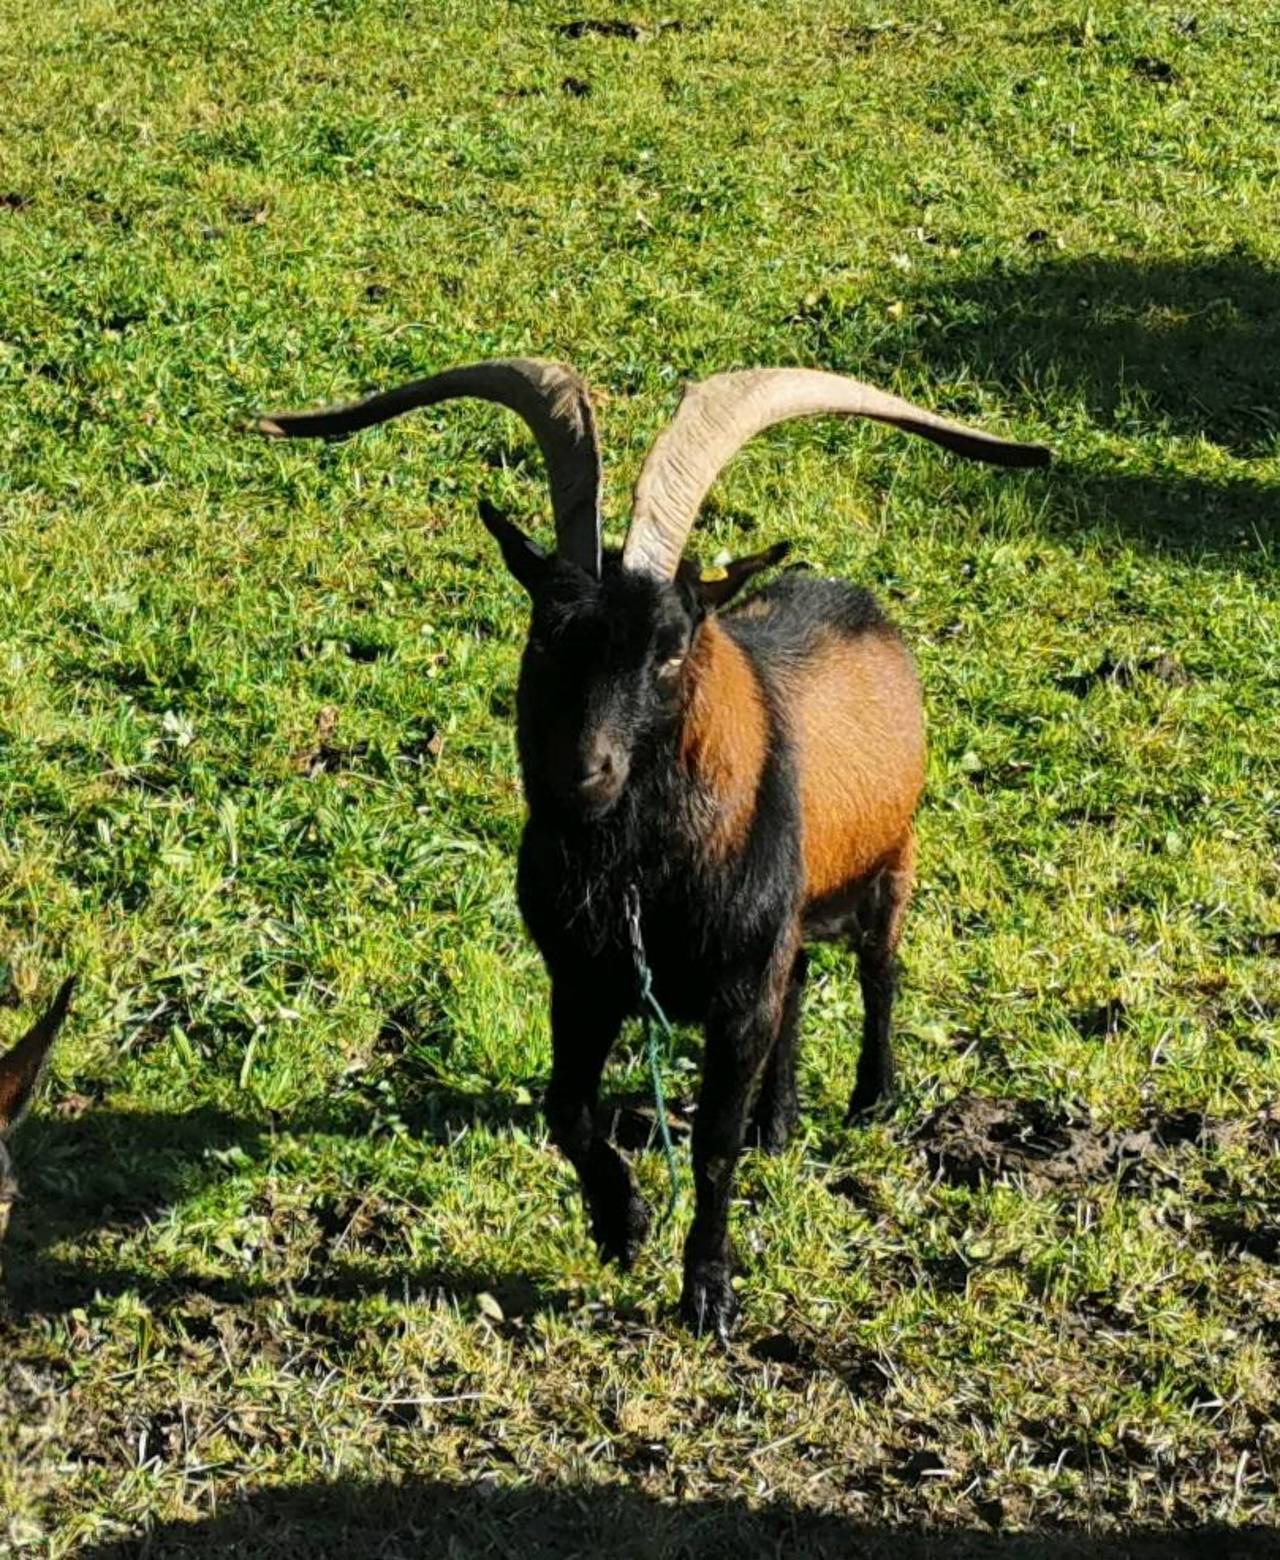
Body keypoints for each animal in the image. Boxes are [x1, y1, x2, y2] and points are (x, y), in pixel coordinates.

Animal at [258, 361, 1048, 1337]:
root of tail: (857, 602)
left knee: (878, 971)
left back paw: (871, 1098)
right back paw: (779, 1123)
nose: (582, 775)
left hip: (891, 860)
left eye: (671, 650)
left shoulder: (736, 991)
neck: (641, 881)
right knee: (800, 983)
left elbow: (710, 1142)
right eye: (546, 633)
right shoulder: (583, 980)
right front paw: (622, 1221)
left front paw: (709, 1290)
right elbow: (568, 1109)